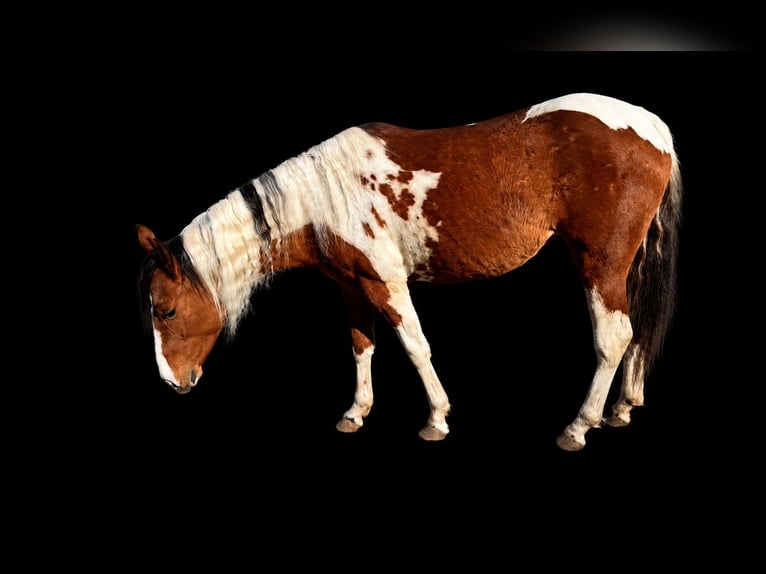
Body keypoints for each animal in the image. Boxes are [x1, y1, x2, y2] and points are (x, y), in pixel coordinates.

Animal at [136, 92, 682, 451]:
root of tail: (651, 127)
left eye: (165, 311)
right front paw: (355, 413)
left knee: (613, 336)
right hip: (626, 264)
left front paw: (436, 419)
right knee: (634, 330)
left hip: (600, 264)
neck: (322, 199)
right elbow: (362, 347)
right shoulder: (352, 288)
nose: (171, 382)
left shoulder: (387, 282)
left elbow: (416, 346)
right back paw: (622, 408)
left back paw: (579, 426)